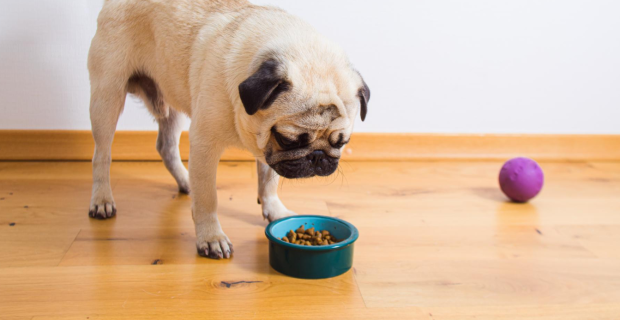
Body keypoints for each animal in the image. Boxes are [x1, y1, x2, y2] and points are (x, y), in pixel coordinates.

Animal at [86, 0, 368, 258]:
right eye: (288, 140)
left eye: (341, 142)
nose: (317, 157)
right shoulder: (206, 144)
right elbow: (208, 197)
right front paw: (211, 237)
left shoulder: (267, 149)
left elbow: (268, 181)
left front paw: (275, 211)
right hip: (107, 96)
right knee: (102, 154)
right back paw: (102, 199)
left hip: (170, 103)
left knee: (166, 146)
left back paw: (186, 181)